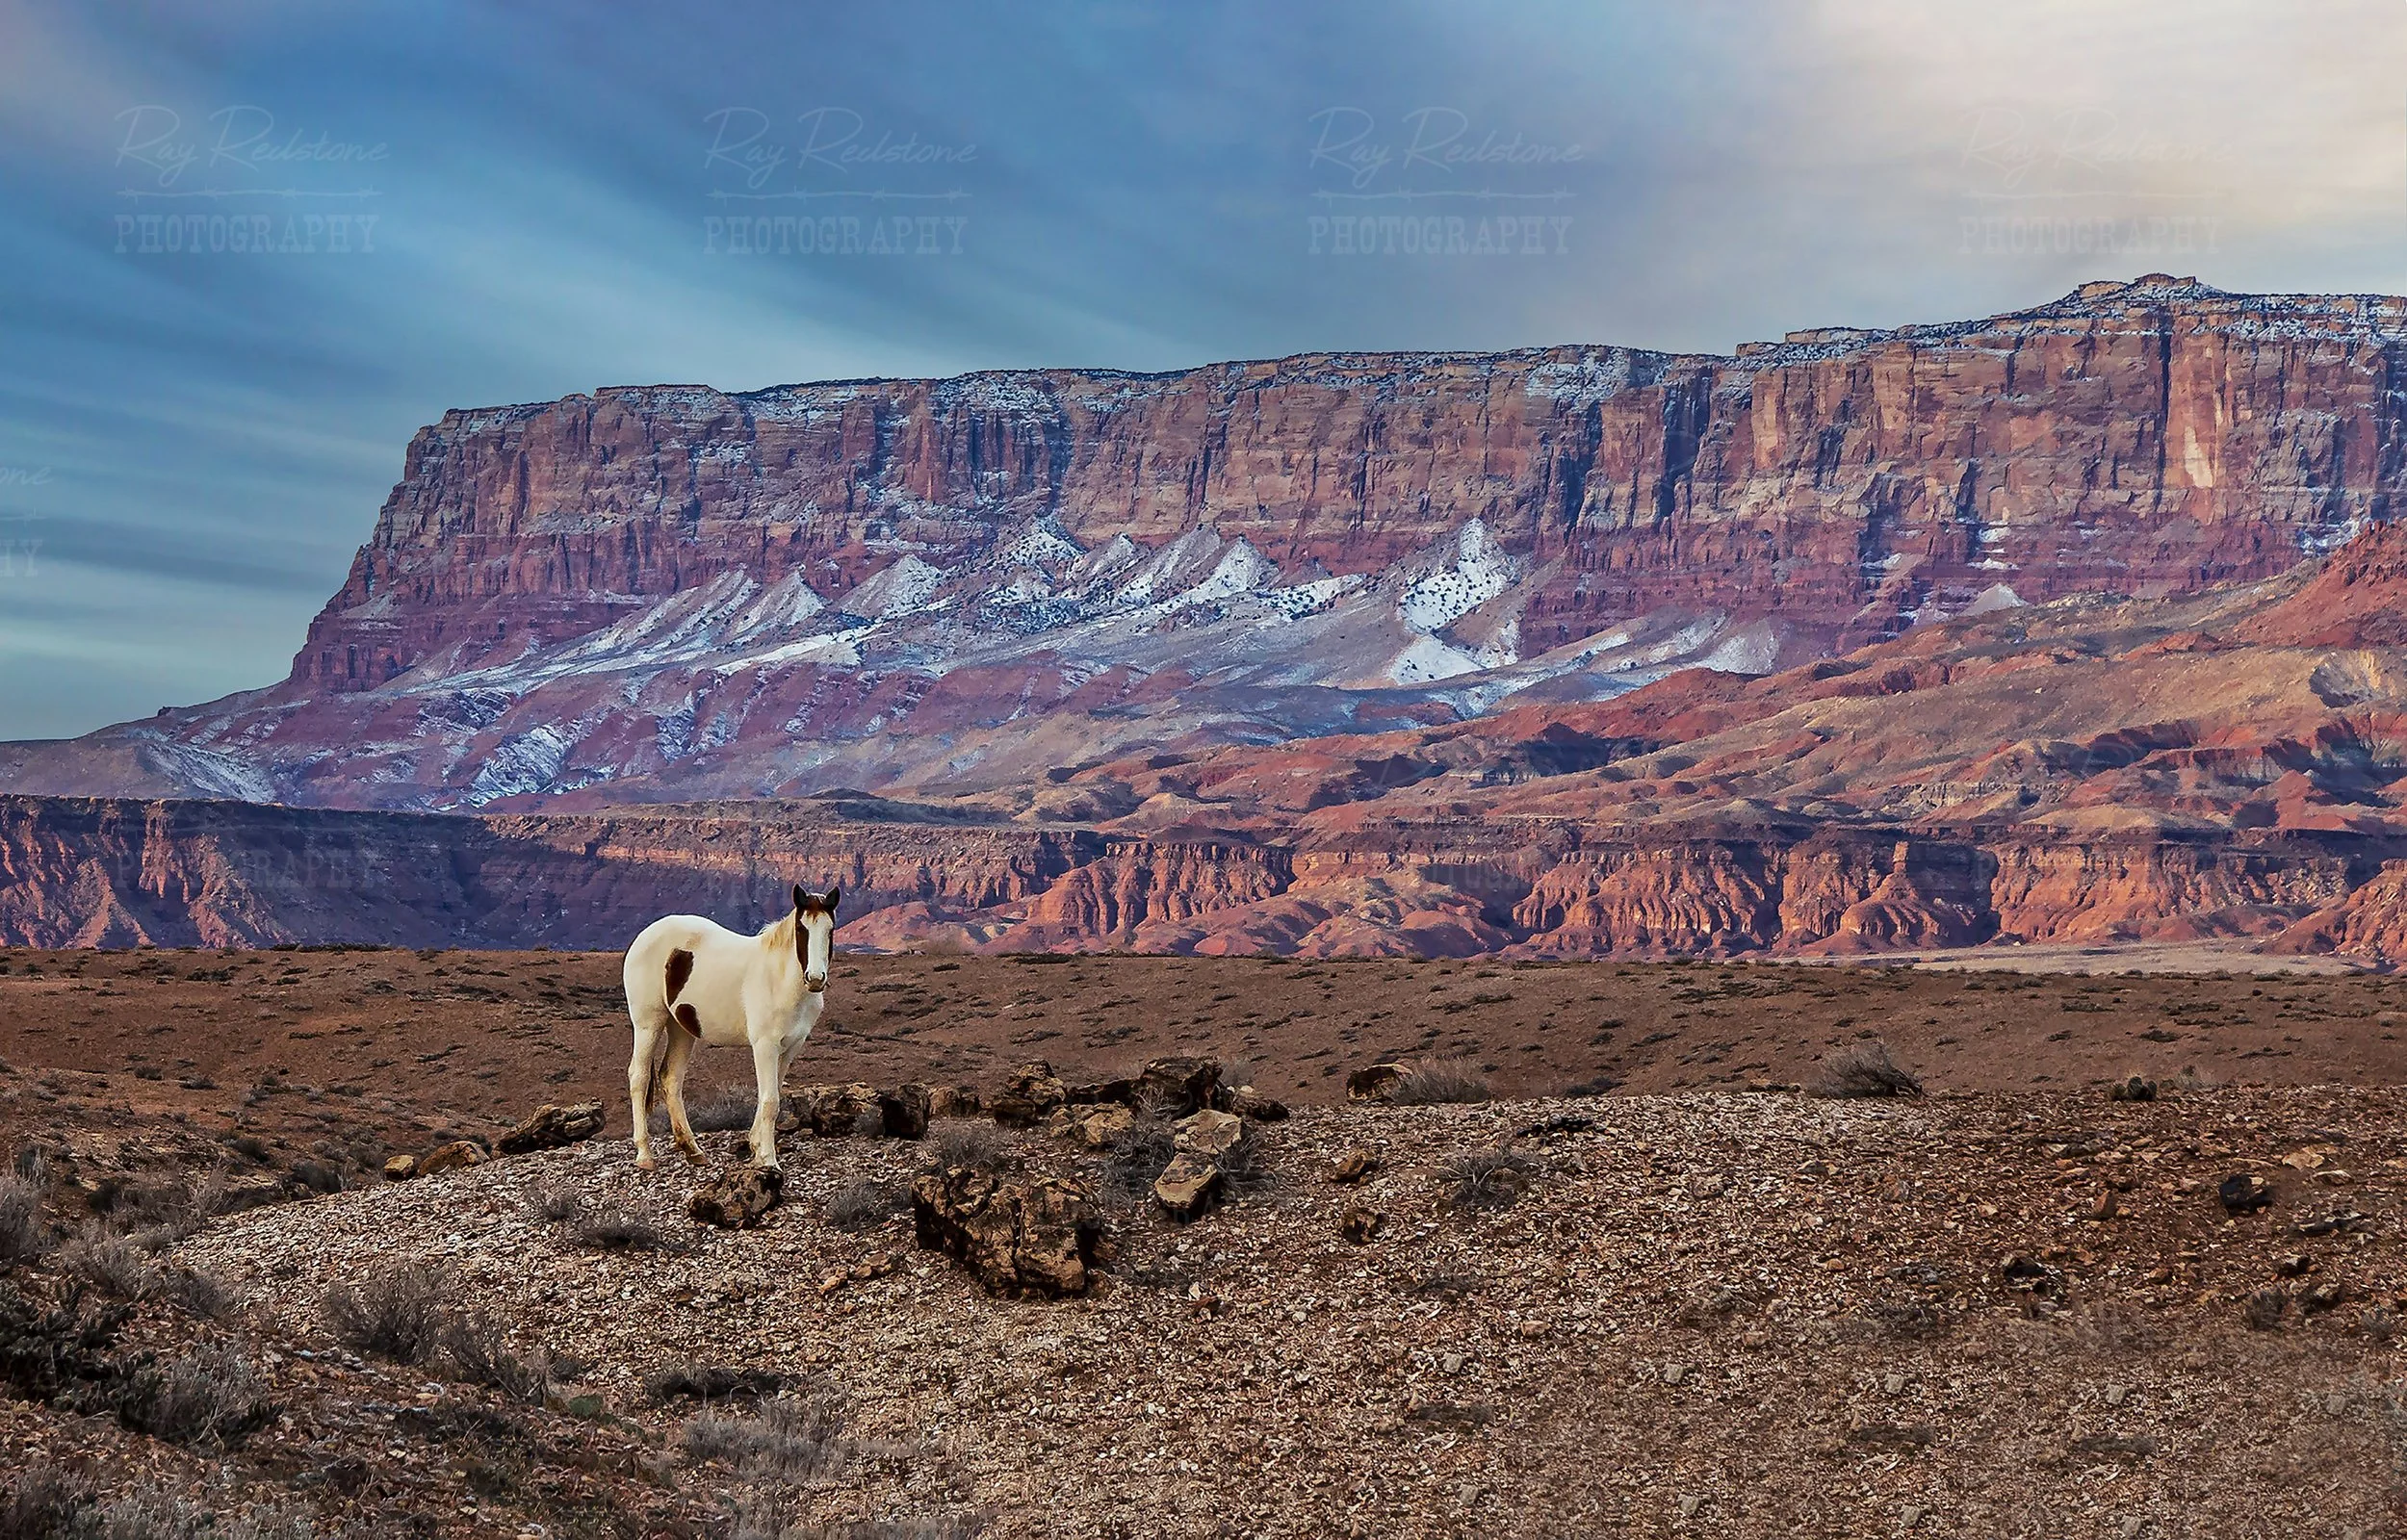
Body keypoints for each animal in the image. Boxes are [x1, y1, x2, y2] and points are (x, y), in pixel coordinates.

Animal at [622, 884, 841, 1172]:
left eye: (830, 929)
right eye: (801, 929)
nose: (815, 979)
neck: (780, 979)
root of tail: (644, 936)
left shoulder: (791, 1047)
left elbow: (771, 1094)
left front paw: (756, 1148)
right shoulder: (764, 1045)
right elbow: (770, 1101)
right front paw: (768, 1159)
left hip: (681, 1028)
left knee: (671, 1078)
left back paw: (693, 1150)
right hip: (648, 1023)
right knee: (639, 1077)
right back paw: (645, 1155)